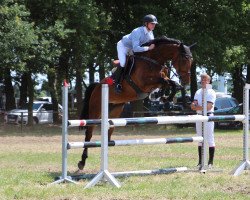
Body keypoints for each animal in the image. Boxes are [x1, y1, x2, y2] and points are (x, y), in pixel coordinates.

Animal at [77, 37, 193, 170]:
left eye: (191, 60)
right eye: (184, 59)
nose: (186, 81)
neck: (153, 60)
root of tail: (97, 86)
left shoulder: (158, 80)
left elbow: (170, 83)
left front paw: (164, 98)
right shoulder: (144, 83)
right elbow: (167, 82)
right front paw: (165, 98)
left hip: (115, 110)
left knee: (109, 130)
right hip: (96, 110)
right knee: (89, 133)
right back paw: (82, 162)